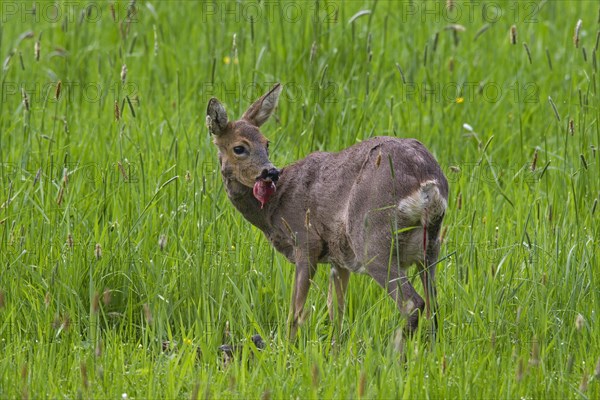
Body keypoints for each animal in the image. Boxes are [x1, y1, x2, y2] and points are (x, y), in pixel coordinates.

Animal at [206, 83, 446, 340]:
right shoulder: (338, 256)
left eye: (266, 143)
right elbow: (336, 309)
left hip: (373, 240)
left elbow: (296, 311)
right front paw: (336, 346)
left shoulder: (306, 240)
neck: (275, 208)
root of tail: (427, 182)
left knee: (412, 303)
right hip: (430, 248)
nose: (270, 172)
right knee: (433, 306)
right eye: (239, 148)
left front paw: (287, 345)